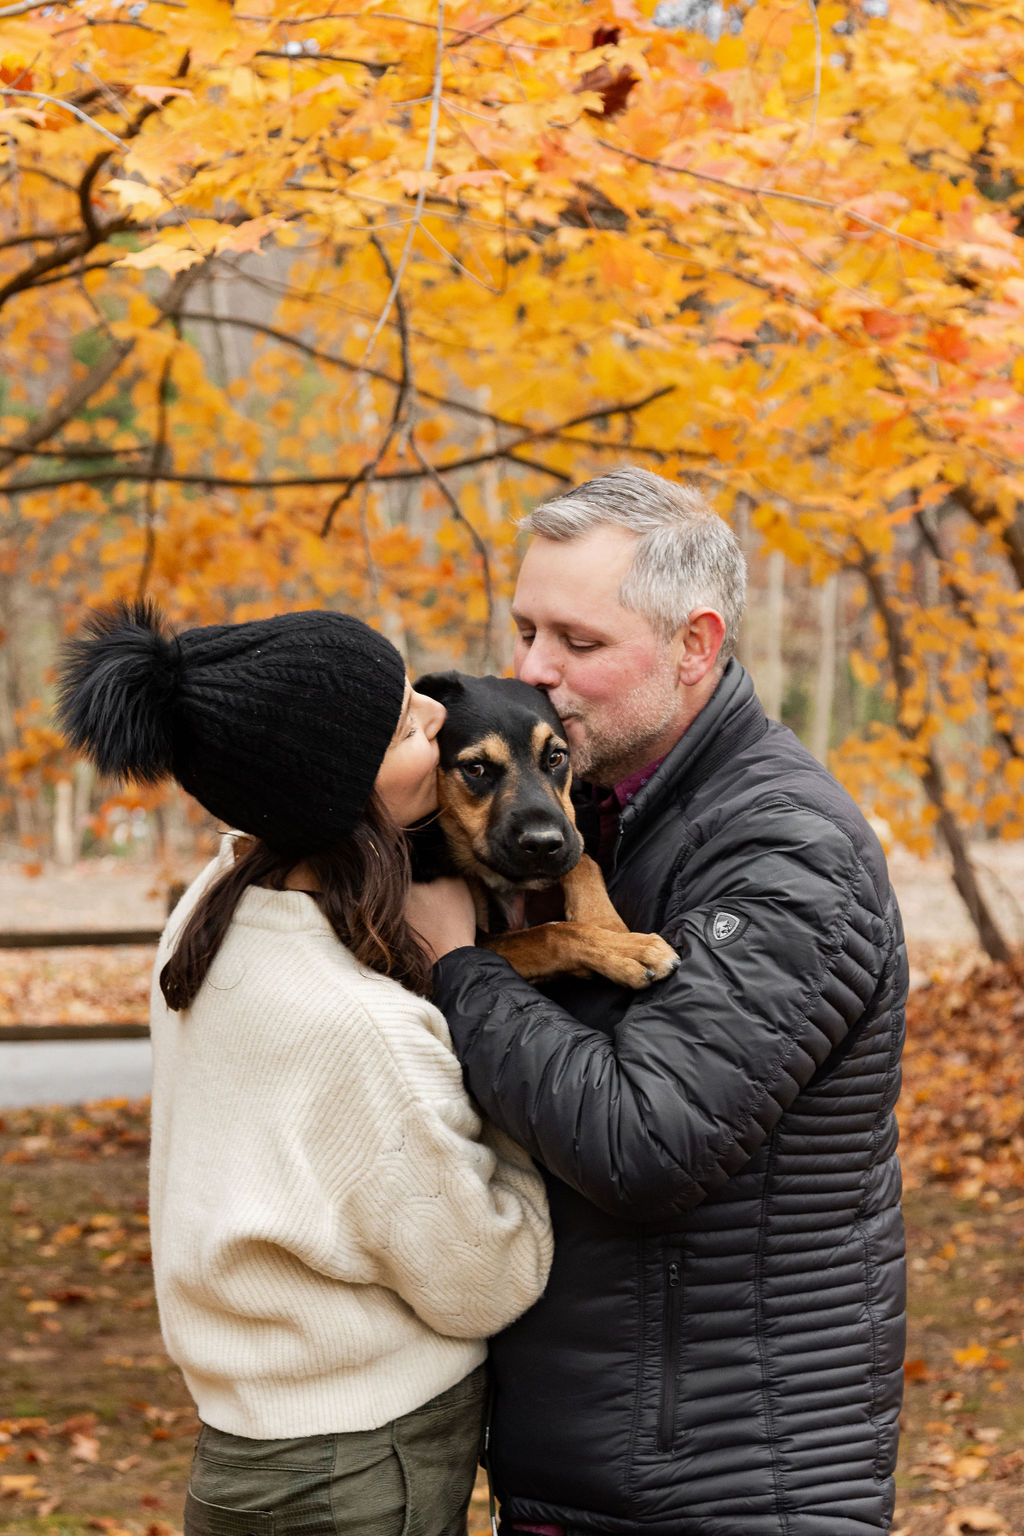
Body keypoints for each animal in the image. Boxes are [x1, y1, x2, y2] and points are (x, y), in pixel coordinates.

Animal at [408, 675, 681, 989]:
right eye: (475, 768)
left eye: (555, 758)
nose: (542, 844)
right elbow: (550, 933)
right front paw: (626, 949)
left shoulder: (567, 838)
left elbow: (582, 859)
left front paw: (606, 923)